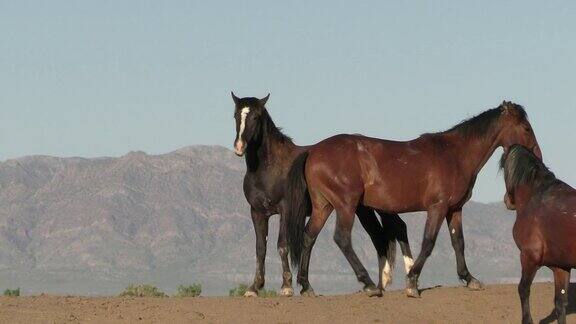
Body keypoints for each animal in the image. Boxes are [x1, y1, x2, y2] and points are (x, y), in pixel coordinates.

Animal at [231, 92, 414, 298]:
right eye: (236, 115)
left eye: (255, 116)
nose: (239, 147)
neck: (269, 169)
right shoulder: (257, 212)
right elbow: (260, 248)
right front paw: (254, 287)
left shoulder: (285, 211)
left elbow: (282, 245)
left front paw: (286, 286)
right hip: (363, 208)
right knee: (379, 235)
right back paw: (383, 282)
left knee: (398, 228)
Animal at [286, 100, 544, 296]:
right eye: (526, 128)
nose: (538, 155)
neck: (455, 154)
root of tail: (313, 151)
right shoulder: (437, 208)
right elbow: (428, 242)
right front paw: (412, 282)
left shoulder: (455, 209)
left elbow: (458, 242)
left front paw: (469, 279)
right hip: (346, 206)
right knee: (342, 238)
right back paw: (369, 284)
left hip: (324, 206)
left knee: (308, 237)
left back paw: (307, 286)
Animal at [500, 145, 576, 324]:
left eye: (503, 166)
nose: (507, 201)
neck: (536, 196)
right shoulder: (561, 267)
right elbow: (560, 302)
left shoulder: (529, 257)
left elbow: (523, 289)